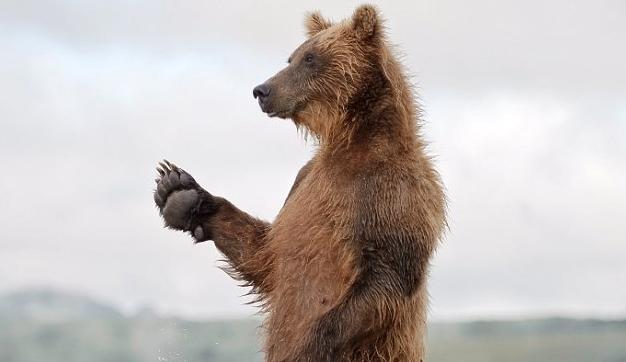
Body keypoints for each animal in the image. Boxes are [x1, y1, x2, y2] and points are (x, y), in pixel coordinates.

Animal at [152, 3, 444, 362]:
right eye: (291, 57)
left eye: (310, 58)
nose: (262, 90)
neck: (355, 141)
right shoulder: (303, 185)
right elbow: (265, 254)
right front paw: (178, 192)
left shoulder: (392, 194)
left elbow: (383, 278)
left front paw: (307, 347)